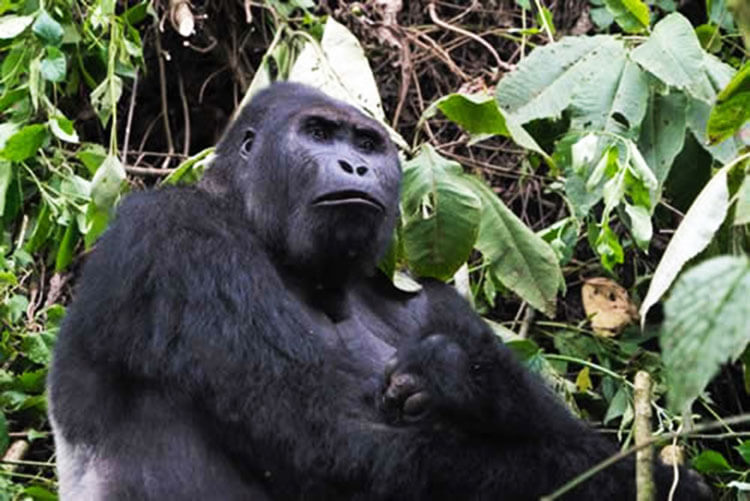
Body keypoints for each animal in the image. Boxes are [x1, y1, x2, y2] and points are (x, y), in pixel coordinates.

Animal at [48, 83, 712, 500]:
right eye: (318, 133)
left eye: (366, 144)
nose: (355, 167)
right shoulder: (176, 236)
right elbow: (337, 444)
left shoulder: (429, 298)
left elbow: (559, 431)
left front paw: (468, 379)